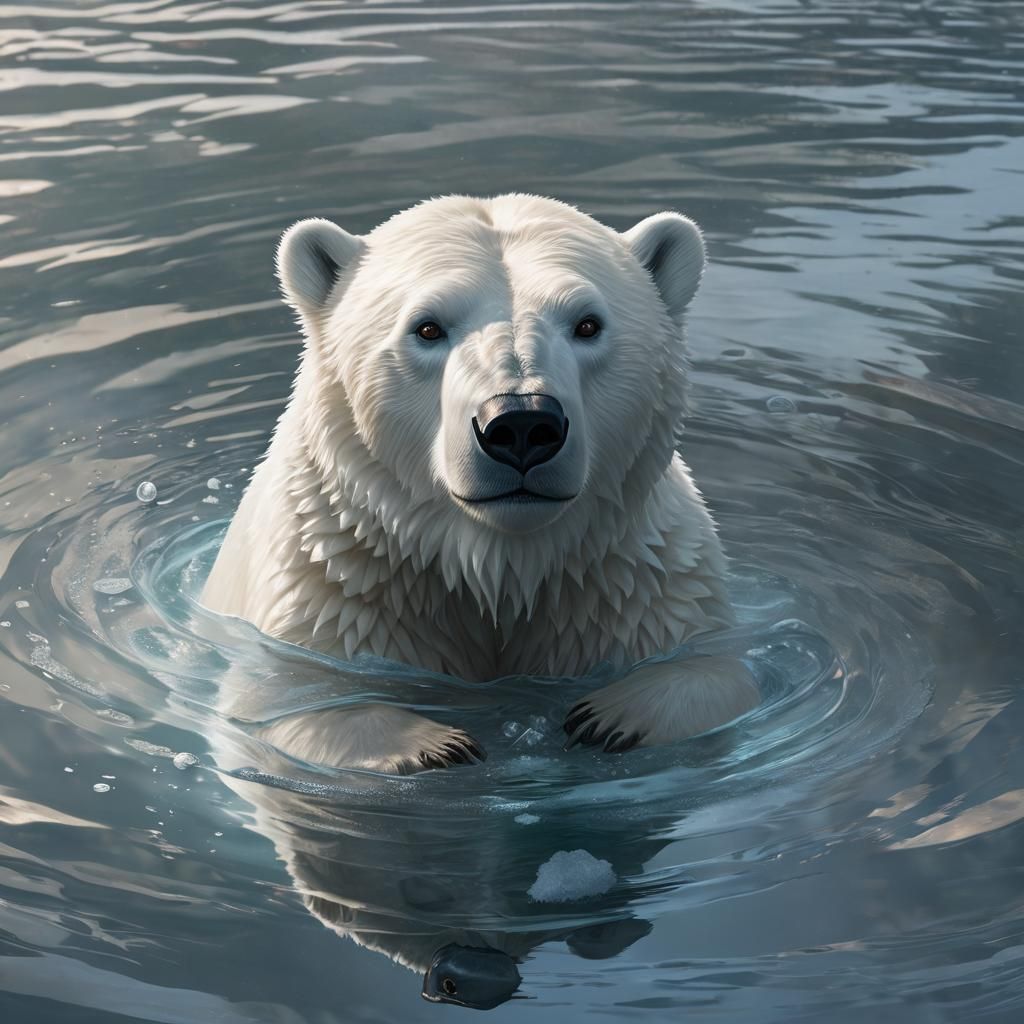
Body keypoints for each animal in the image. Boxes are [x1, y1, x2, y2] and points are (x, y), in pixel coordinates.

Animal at [203, 193, 759, 773]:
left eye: (587, 324)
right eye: (427, 327)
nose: (521, 426)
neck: (498, 563)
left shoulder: (634, 577)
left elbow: (715, 677)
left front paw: (606, 717)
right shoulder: (334, 581)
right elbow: (284, 706)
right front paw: (434, 746)